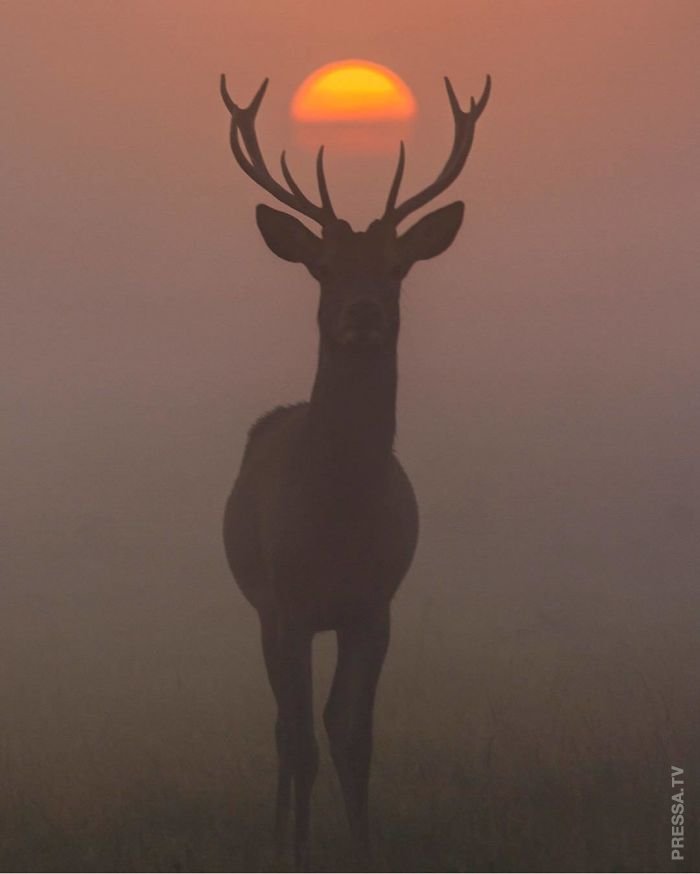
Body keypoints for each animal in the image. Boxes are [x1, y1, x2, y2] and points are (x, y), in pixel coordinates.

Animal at [221, 70, 490, 864]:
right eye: (323, 267)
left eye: (397, 267)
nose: (364, 312)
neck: (338, 516)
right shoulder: (289, 603)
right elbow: (304, 739)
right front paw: (299, 852)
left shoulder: (375, 605)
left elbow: (355, 736)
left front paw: (366, 848)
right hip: (263, 607)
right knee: (283, 728)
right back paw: (278, 834)